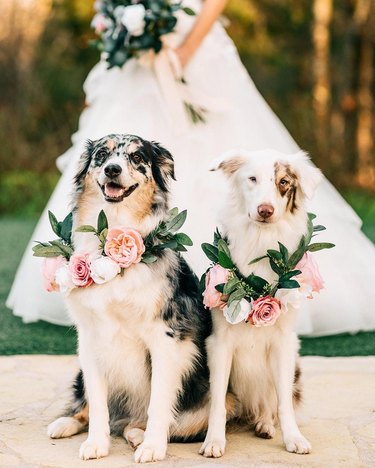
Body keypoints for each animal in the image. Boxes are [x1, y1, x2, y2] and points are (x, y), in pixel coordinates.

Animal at [201, 149, 322, 458]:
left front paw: (293, 438)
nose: (265, 210)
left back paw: (265, 424)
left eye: (283, 182)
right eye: (252, 179)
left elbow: (284, 402)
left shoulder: (284, 342)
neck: (261, 241)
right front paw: (214, 440)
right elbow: (217, 400)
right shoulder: (219, 342)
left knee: (271, 402)